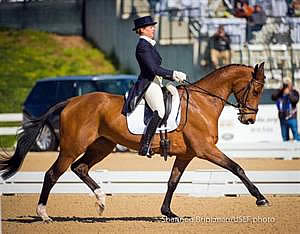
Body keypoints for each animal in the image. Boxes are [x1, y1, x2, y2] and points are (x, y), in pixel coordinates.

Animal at [0, 61, 270, 221]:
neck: (203, 103)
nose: (249, 119)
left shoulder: (186, 154)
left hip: (102, 146)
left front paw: (168, 213)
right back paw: (44, 214)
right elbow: (237, 167)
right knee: (52, 174)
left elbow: (173, 182)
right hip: (71, 147)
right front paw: (261, 198)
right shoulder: (206, 149)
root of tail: (71, 101)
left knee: (80, 168)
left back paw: (101, 201)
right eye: (257, 90)